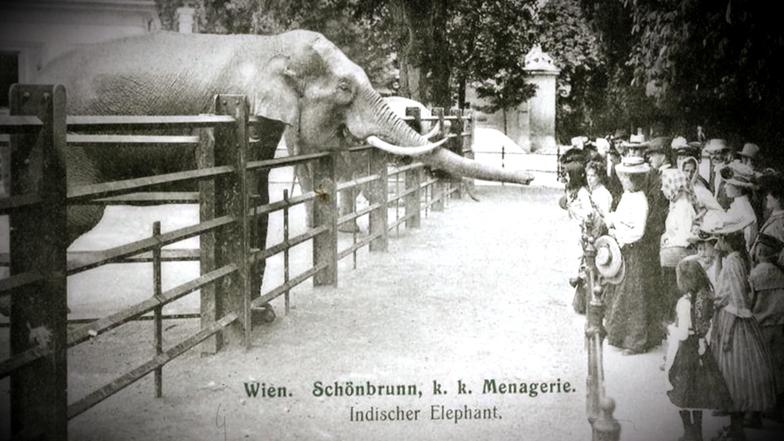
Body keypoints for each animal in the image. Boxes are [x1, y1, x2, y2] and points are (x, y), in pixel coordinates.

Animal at [27, 30, 536, 300]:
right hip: (72, 145)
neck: (268, 45)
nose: (531, 176)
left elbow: (263, 193)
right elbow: (248, 191)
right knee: (81, 214)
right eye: (345, 89)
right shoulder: (238, 110)